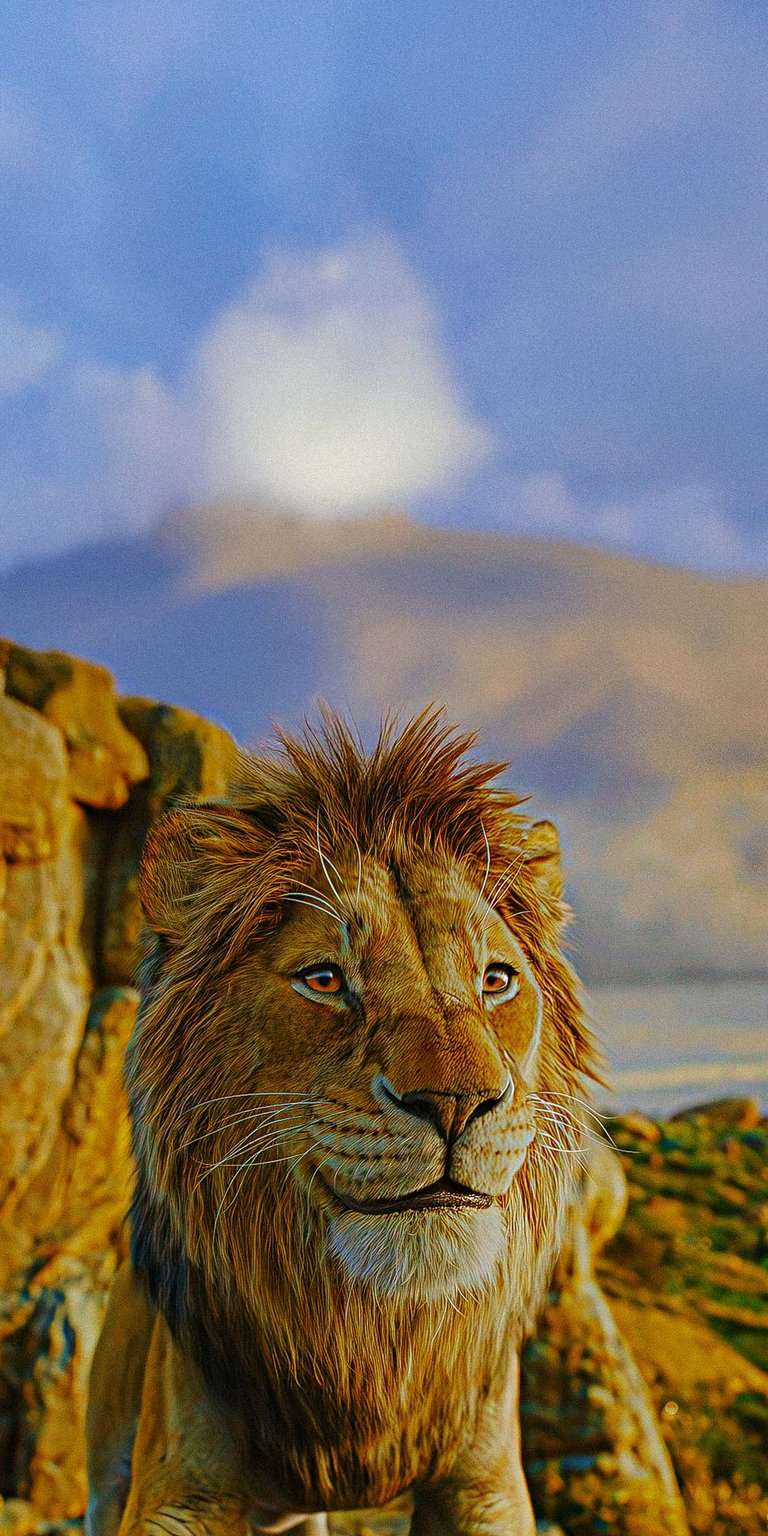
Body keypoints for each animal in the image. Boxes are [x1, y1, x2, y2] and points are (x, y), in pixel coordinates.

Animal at [86, 708, 597, 1536]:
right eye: (324, 979)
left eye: (496, 980)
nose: (457, 1103)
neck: (370, 1337)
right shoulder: (182, 1486)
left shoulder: (486, 1477)